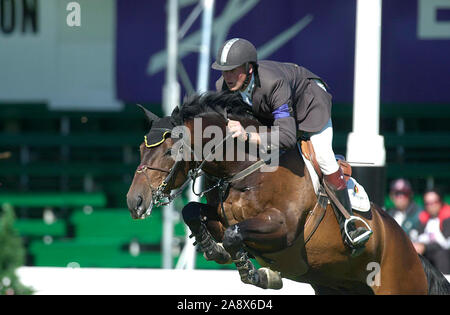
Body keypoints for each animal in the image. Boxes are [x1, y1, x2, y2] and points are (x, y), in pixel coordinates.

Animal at [125, 92, 450, 296]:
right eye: (141, 149)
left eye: (170, 151)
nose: (134, 202)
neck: (247, 170)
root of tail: (412, 252)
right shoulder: (220, 214)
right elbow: (194, 212)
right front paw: (213, 249)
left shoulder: (282, 228)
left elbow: (234, 234)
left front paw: (258, 274)